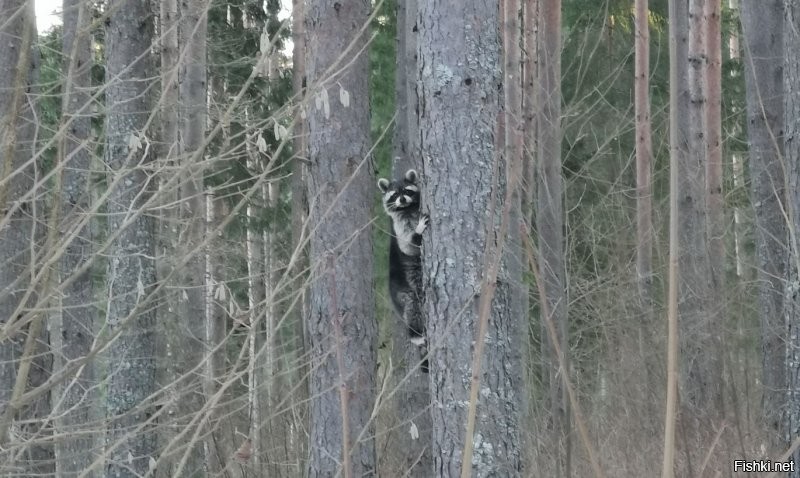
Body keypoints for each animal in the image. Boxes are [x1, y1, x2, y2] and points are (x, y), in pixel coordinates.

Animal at [376, 168, 428, 348]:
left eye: (406, 191)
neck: (407, 208)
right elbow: (408, 247)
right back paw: (416, 334)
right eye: (395, 194)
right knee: (412, 307)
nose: (403, 199)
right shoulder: (399, 227)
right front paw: (418, 231)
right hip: (403, 290)